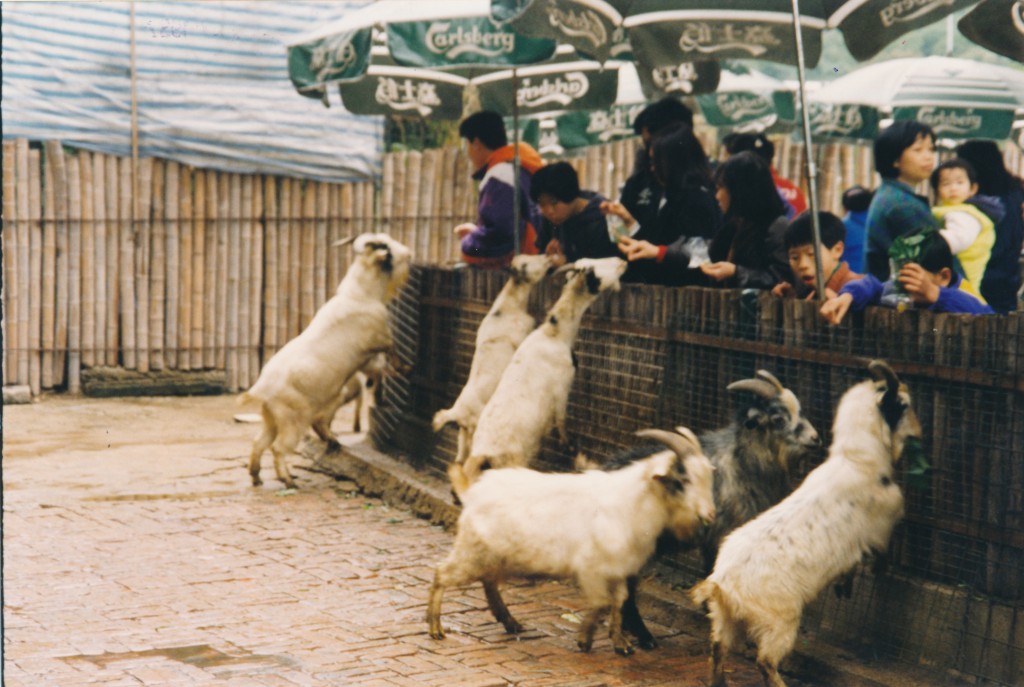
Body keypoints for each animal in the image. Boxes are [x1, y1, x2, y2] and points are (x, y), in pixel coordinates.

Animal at [238, 235, 411, 489]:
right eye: (386, 248)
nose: (408, 252)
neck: (360, 294)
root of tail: (261, 390)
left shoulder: (366, 360)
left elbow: (379, 370)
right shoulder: (380, 340)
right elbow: (392, 355)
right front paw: (406, 367)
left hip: (272, 418)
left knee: (258, 441)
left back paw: (258, 478)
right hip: (294, 419)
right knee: (279, 446)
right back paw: (289, 481)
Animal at [428, 430, 716, 655]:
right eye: (681, 481)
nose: (709, 516)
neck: (632, 502)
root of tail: (472, 492)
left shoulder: (620, 569)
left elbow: (618, 602)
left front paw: (620, 644)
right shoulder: (592, 568)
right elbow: (601, 603)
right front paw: (585, 640)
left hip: (496, 558)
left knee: (488, 583)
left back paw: (511, 623)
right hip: (472, 552)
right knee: (442, 573)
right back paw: (435, 628)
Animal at [434, 253, 557, 466]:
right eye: (525, 264)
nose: (547, 256)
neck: (508, 307)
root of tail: (457, 412)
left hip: (463, 435)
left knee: (460, 458)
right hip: (475, 429)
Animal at [450, 254, 626, 497]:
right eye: (592, 271)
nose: (622, 261)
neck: (553, 335)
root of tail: (481, 456)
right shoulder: (562, 388)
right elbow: (561, 421)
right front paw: (570, 446)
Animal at [688, 360, 921, 687]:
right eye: (903, 404)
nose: (918, 434)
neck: (856, 461)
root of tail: (720, 582)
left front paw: (844, 588)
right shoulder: (880, 526)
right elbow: (878, 553)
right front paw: (874, 571)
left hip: (725, 618)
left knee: (718, 647)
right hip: (779, 623)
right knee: (764, 661)